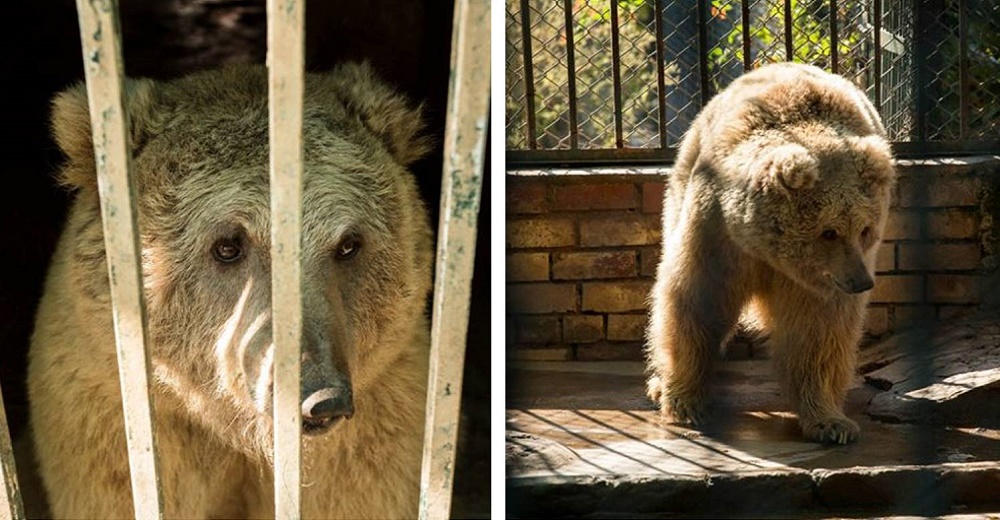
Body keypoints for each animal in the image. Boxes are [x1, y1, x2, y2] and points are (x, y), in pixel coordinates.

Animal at [26, 63, 434, 516]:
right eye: (227, 245)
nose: (321, 397)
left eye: (348, 244)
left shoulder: (375, 430)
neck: (243, 434)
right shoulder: (115, 421)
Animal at [644, 61, 896, 442]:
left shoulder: (818, 282)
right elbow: (695, 302)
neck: (764, 249)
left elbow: (817, 332)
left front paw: (831, 422)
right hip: (681, 185)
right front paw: (684, 401)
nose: (861, 282)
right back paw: (658, 385)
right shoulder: (717, 233)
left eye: (865, 229)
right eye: (829, 232)